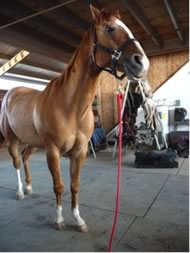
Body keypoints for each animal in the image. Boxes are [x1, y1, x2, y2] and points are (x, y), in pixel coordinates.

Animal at [0, 5, 148, 231]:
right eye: (109, 28)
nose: (142, 62)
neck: (69, 106)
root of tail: (11, 93)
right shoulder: (53, 151)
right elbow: (59, 186)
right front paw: (59, 220)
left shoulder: (80, 152)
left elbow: (75, 185)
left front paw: (78, 220)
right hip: (12, 140)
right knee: (16, 161)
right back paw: (19, 192)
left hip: (33, 142)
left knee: (25, 158)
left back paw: (29, 187)